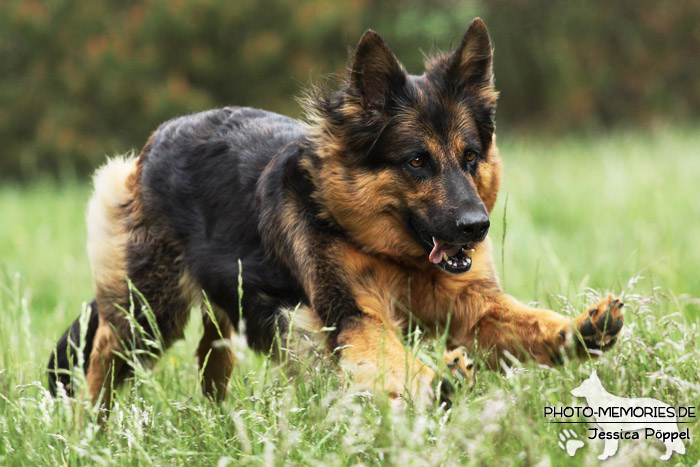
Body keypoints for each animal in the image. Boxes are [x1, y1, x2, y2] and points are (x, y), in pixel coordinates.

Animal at [49, 18, 628, 414]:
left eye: (469, 157)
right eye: (416, 161)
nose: (475, 227)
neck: (393, 254)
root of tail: (157, 139)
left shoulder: (473, 307)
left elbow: (529, 320)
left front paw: (580, 330)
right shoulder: (353, 318)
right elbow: (397, 360)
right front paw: (442, 380)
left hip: (225, 306)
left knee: (211, 358)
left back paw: (220, 422)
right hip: (151, 312)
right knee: (103, 357)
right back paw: (88, 435)